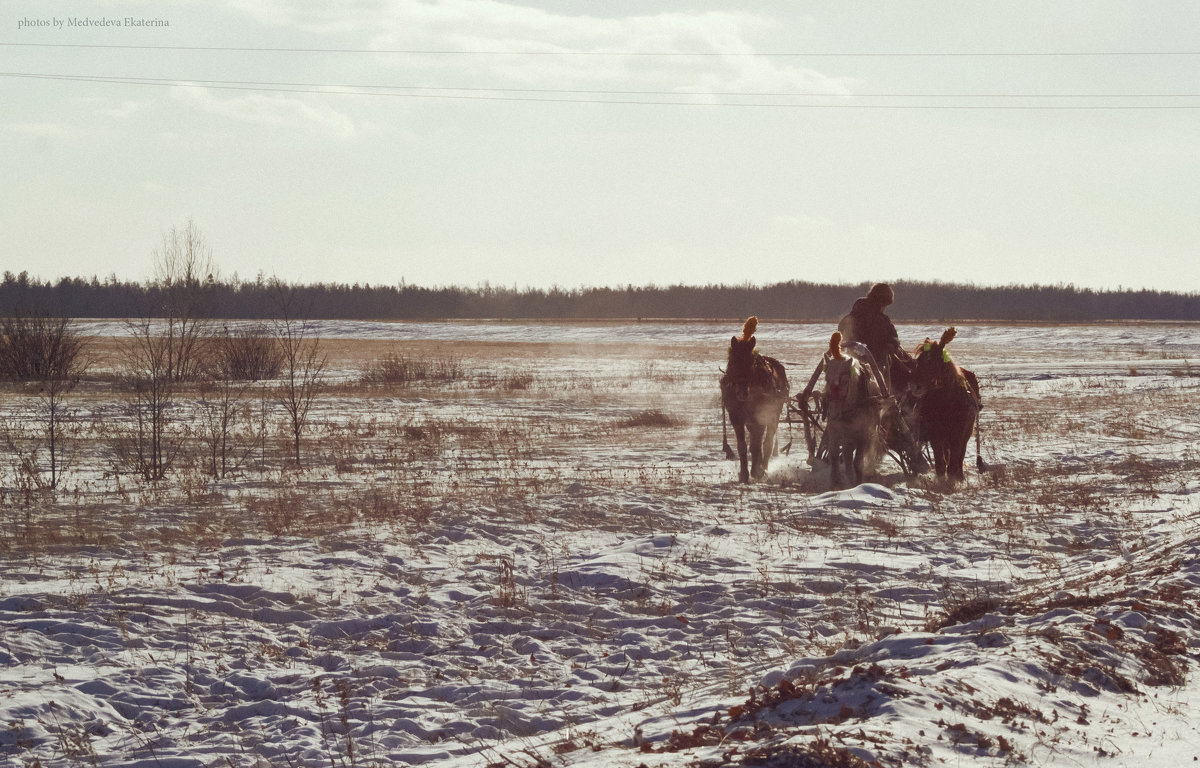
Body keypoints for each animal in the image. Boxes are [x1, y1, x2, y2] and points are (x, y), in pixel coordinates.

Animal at [720, 314, 787, 482]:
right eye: (733, 362)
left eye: (751, 363)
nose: (742, 393)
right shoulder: (736, 416)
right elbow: (743, 446)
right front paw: (744, 473)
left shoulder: (760, 415)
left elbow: (757, 445)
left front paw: (756, 471)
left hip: (774, 414)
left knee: (768, 442)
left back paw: (763, 467)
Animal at [912, 326, 979, 482]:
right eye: (918, 360)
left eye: (931, 361)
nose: (914, 386)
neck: (946, 404)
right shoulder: (935, 434)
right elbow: (940, 462)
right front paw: (942, 480)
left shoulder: (958, 433)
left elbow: (955, 459)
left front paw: (954, 477)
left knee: (960, 455)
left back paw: (960, 475)